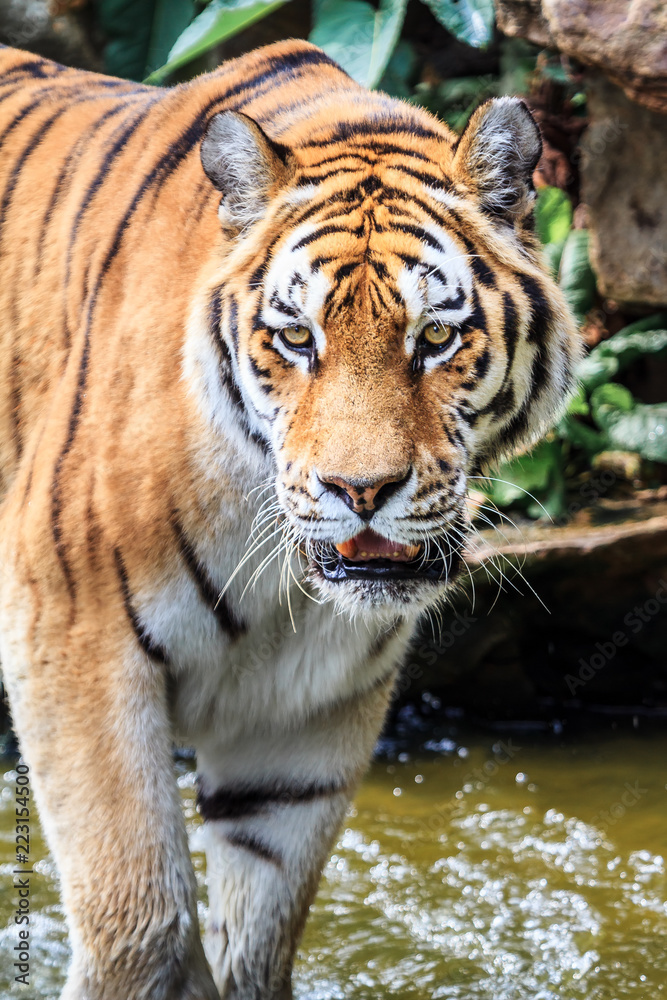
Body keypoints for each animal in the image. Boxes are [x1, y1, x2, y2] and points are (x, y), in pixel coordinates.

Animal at [0, 36, 580, 1000]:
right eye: (297, 339)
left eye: (435, 338)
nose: (360, 489)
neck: (280, 581)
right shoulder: (70, 638)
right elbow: (140, 919)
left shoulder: (304, 721)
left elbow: (257, 939)